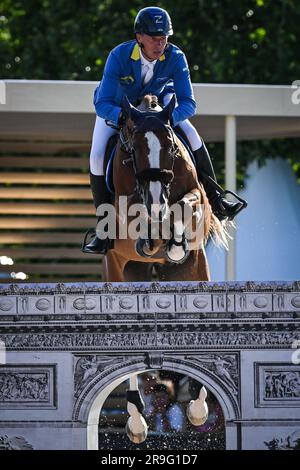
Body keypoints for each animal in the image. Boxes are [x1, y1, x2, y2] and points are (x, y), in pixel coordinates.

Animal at [101, 93, 227, 280]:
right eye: (134, 149)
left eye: (171, 146)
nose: (156, 202)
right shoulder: (122, 208)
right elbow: (138, 213)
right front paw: (153, 236)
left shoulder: (198, 196)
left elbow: (183, 206)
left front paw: (176, 246)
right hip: (116, 267)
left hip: (196, 270)